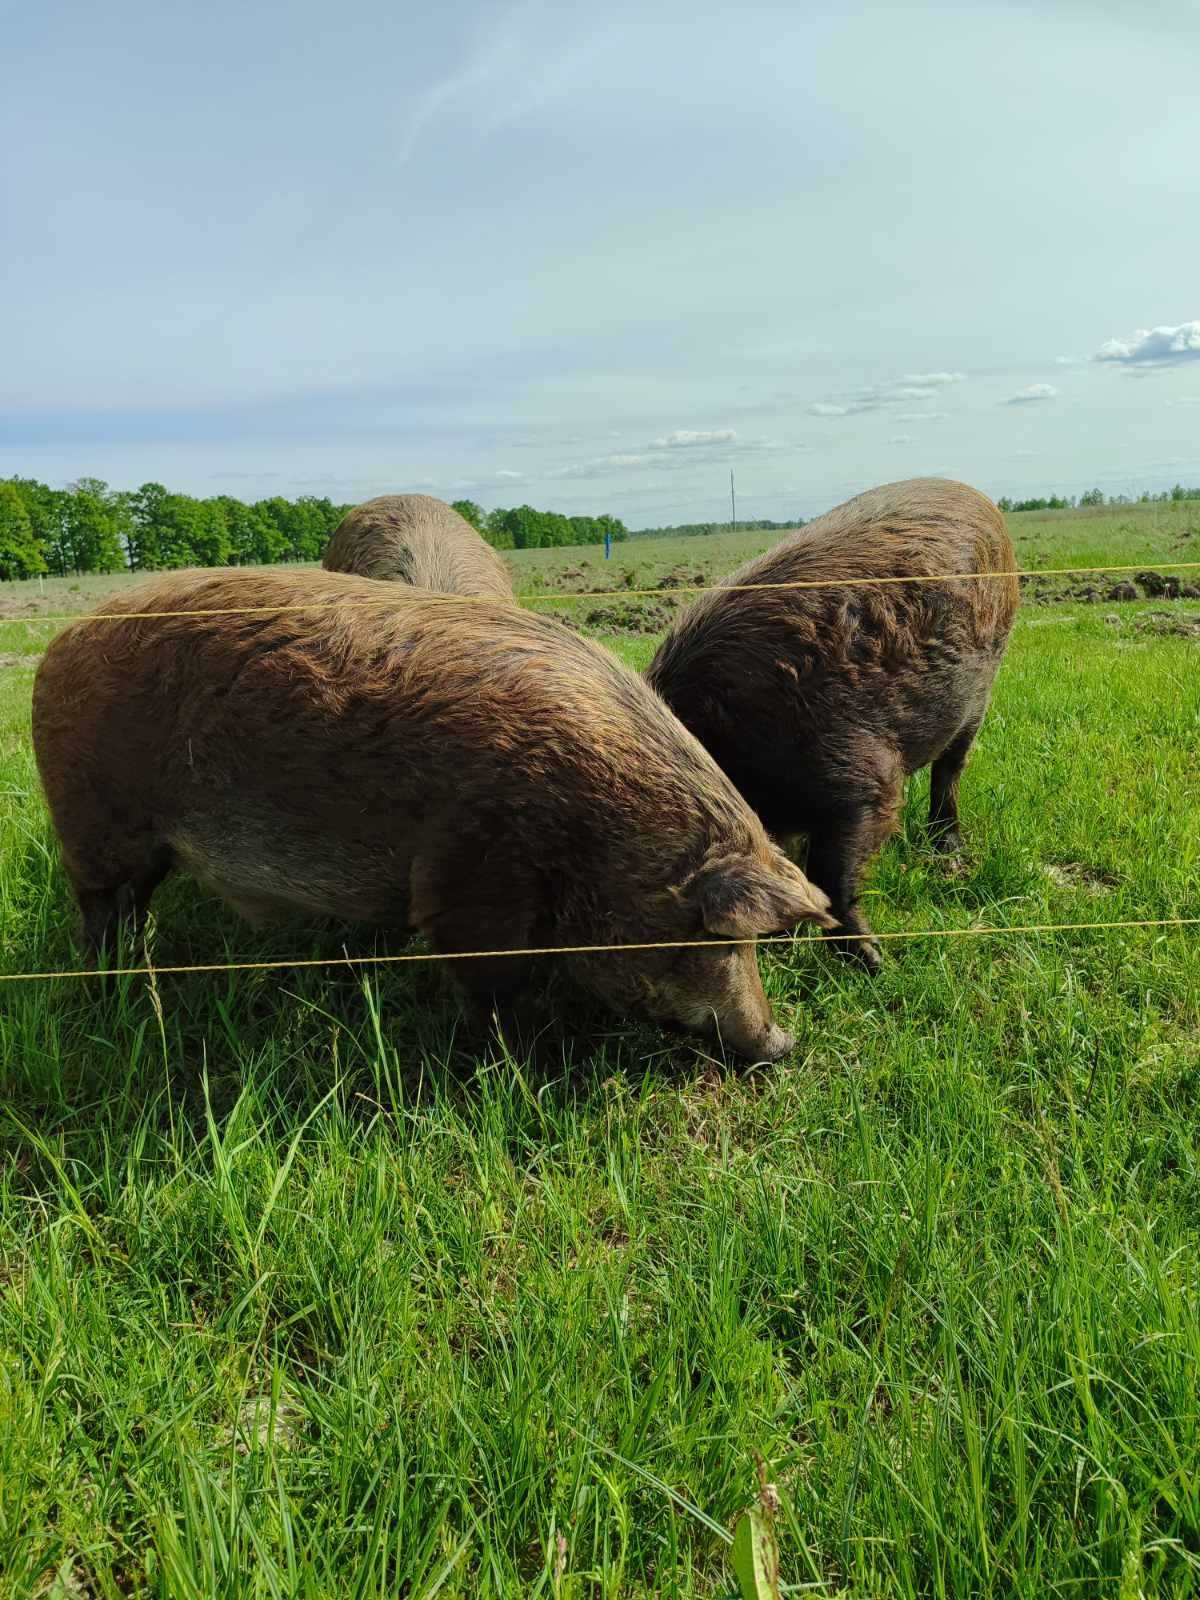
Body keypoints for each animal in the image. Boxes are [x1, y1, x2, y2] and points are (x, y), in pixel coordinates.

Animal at [30, 569, 838, 1056]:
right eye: (722, 940)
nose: (781, 1044)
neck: (602, 832)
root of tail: (59, 643)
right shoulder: (471, 878)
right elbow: (487, 985)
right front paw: (513, 1063)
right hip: (94, 824)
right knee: (98, 907)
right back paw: (111, 985)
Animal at [649, 473, 1024, 966]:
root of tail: (975, 495)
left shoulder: (862, 780)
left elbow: (832, 872)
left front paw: (873, 962)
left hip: (982, 689)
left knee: (950, 771)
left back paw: (947, 851)